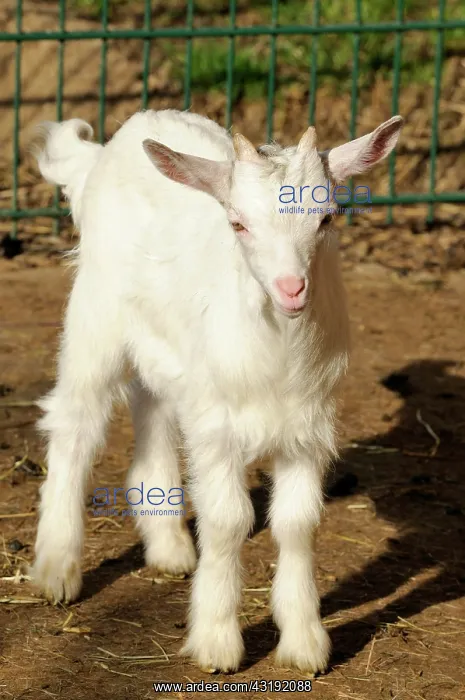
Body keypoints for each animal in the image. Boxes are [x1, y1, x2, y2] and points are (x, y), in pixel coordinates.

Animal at [32, 109, 403, 674]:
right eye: (238, 222)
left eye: (326, 218)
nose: (292, 290)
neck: (278, 342)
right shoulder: (217, 427)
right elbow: (229, 521)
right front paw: (216, 643)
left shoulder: (307, 426)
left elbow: (297, 523)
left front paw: (304, 644)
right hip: (95, 320)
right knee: (75, 424)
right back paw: (56, 569)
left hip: (168, 354)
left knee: (152, 414)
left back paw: (168, 547)